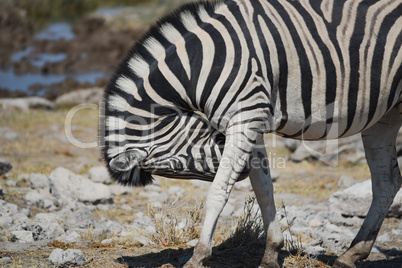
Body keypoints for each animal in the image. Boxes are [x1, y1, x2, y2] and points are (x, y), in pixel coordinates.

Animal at [98, 0, 402, 266]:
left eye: (177, 163)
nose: (241, 170)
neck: (202, 64)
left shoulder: (247, 115)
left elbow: (218, 192)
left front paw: (198, 256)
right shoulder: (250, 118)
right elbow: (263, 189)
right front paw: (271, 254)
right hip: (385, 115)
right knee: (386, 183)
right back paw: (351, 255)